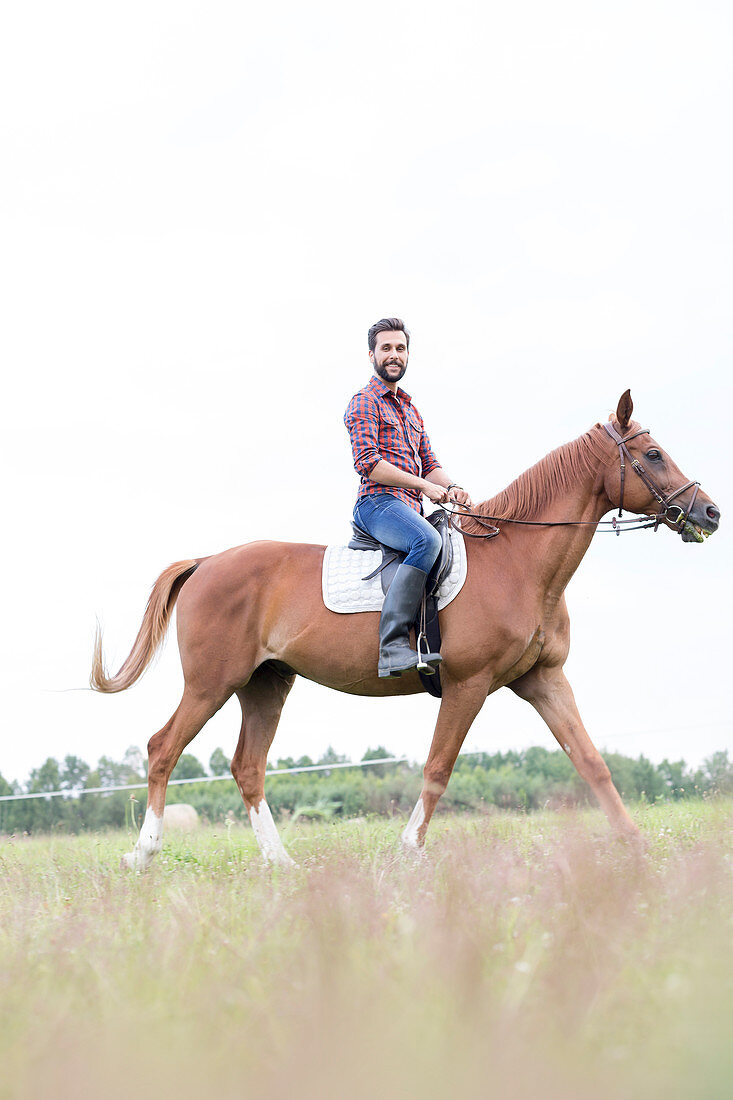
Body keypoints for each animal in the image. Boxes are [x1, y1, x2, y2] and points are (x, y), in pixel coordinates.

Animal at [89, 391, 713, 871]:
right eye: (653, 454)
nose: (709, 513)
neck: (518, 561)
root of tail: (207, 562)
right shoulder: (468, 684)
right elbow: (438, 768)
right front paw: (408, 850)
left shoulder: (543, 680)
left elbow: (591, 762)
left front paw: (636, 845)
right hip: (211, 683)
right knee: (163, 748)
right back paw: (142, 856)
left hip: (265, 684)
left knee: (248, 767)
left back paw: (281, 864)